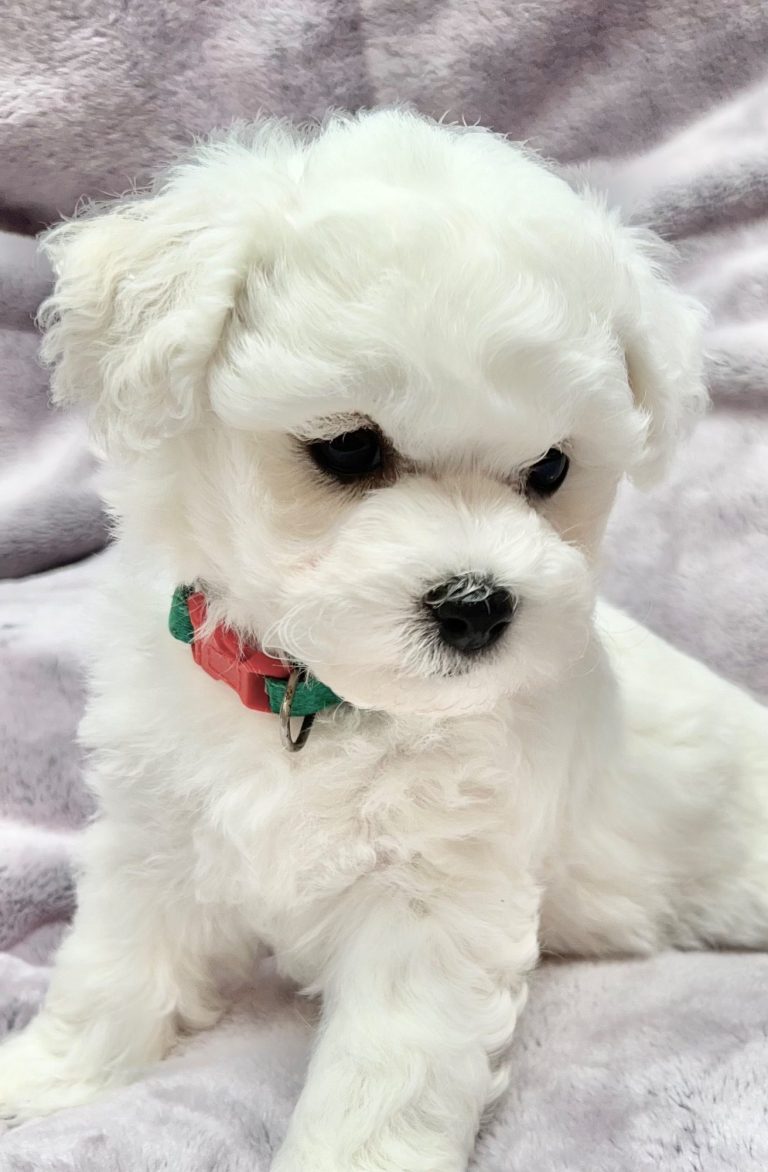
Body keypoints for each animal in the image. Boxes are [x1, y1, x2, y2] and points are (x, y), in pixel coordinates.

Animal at [1, 111, 768, 1172]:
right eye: (349, 448)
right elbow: (113, 968)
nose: (479, 605)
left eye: (552, 469)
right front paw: (45, 1082)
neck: (318, 702)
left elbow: (385, 1080)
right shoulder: (158, 833)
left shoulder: (436, 905)